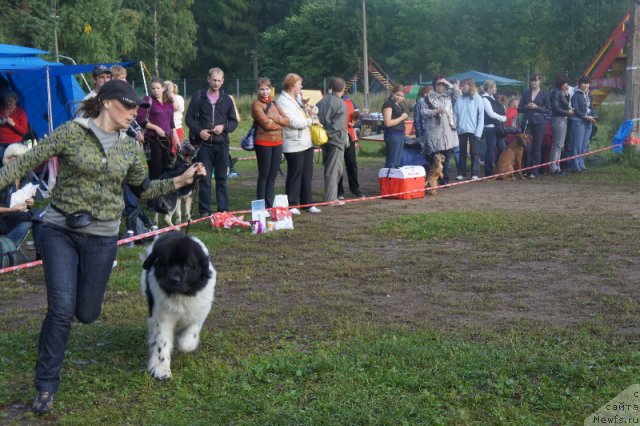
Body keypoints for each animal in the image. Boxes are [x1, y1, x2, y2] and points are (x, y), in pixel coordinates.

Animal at [139, 231, 215, 382]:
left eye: (187, 265)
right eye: (166, 263)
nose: (174, 280)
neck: (181, 296)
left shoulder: (199, 314)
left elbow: (189, 339)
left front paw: (182, 343)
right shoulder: (162, 318)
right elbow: (162, 343)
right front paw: (162, 369)